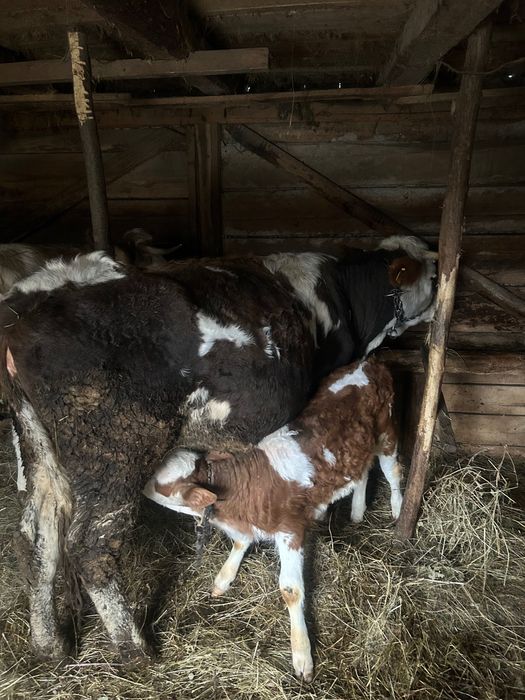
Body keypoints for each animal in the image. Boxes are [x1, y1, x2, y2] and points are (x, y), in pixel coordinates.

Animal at [144, 358, 401, 682]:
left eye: (161, 485)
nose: (139, 484)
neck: (241, 492)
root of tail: (370, 361)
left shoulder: (291, 530)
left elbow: (290, 590)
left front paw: (302, 655)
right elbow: (240, 543)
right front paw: (223, 579)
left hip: (387, 432)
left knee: (392, 471)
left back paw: (398, 510)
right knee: (363, 470)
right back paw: (356, 511)